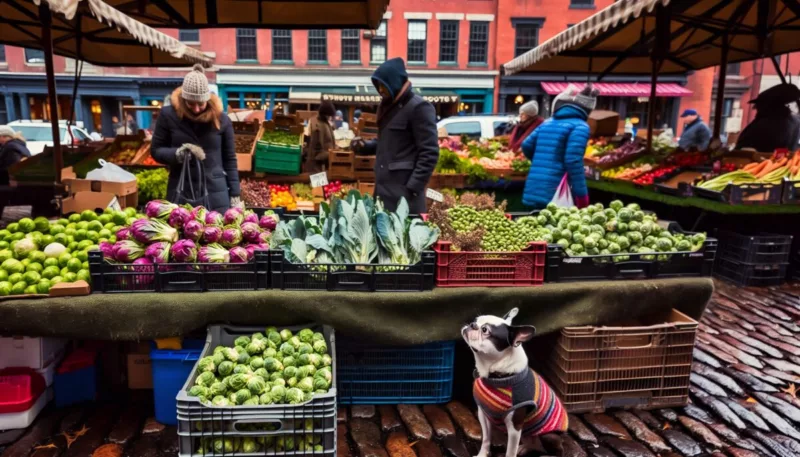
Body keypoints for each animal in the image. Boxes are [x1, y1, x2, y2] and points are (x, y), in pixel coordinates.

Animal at [462, 306, 568, 456]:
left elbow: (510, 452)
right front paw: (482, 454)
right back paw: (524, 448)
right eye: (475, 320)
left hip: (549, 436)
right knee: (533, 443)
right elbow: (486, 439)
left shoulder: (514, 427)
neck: (496, 374)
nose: (472, 324)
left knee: (558, 450)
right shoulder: (483, 414)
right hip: (527, 433)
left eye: (485, 330)